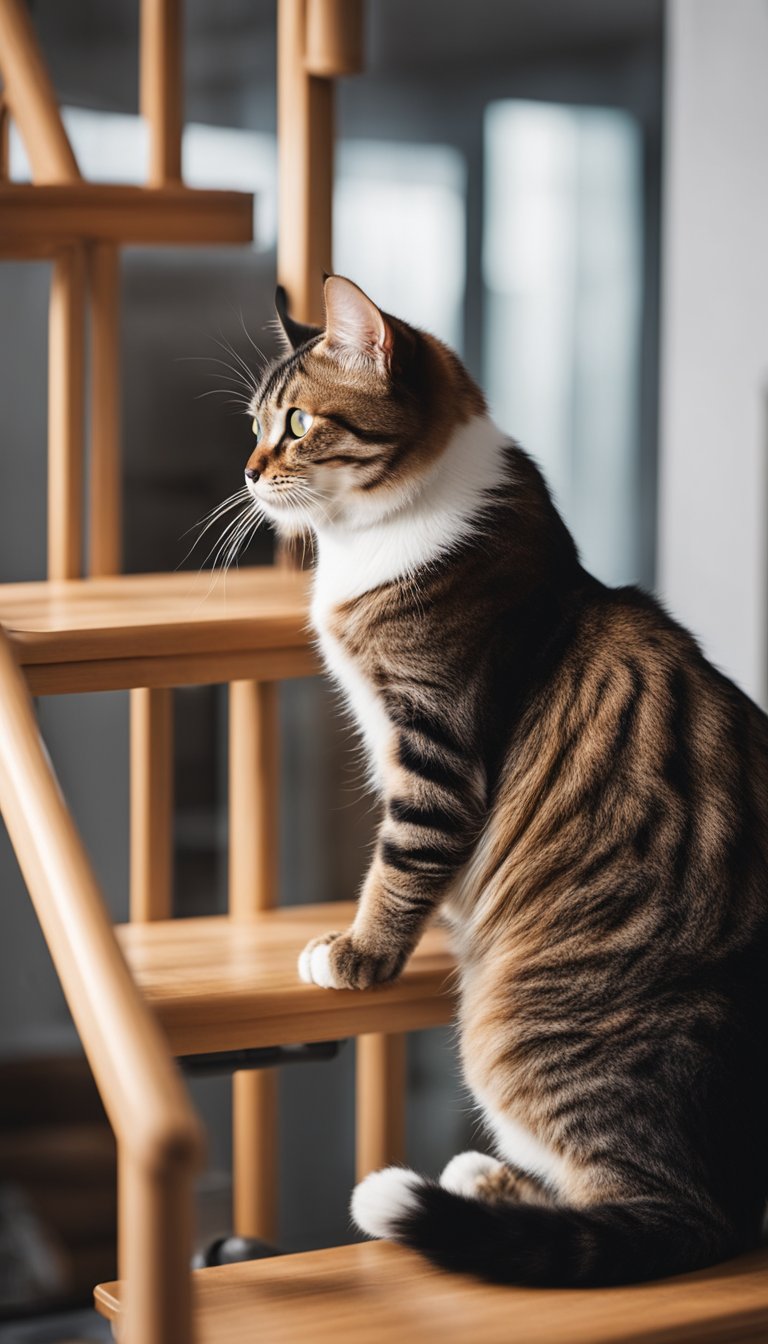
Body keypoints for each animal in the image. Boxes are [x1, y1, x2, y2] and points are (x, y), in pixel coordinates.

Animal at [242, 275, 768, 1290]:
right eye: (253, 424)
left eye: (297, 423)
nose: (248, 473)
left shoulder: (438, 745)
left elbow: (401, 863)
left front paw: (358, 951)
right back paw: (486, 1181)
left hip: (511, 1034)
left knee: (656, 1208)